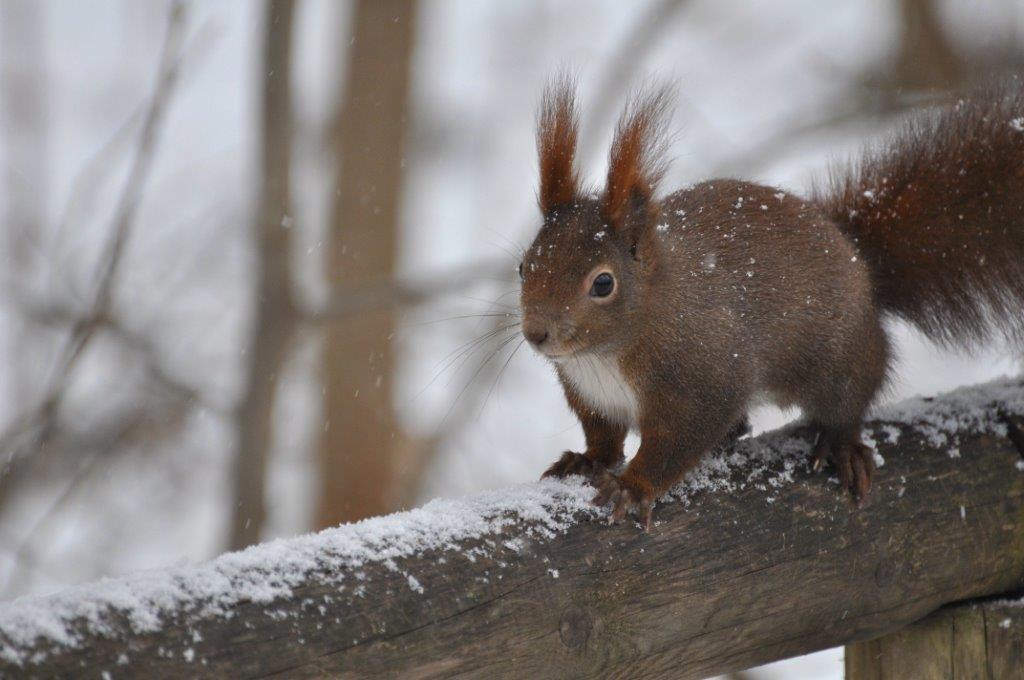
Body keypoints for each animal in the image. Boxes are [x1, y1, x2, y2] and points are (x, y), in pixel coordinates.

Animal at [520, 75, 1024, 532]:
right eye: (524, 266)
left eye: (603, 283)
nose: (536, 334)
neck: (603, 356)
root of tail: (859, 260)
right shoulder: (592, 398)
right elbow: (604, 438)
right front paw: (587, 460)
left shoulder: (701, 377)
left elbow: (674, 445)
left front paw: (632, 487)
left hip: (840, 360)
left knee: (852, 399)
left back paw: (842, 446)